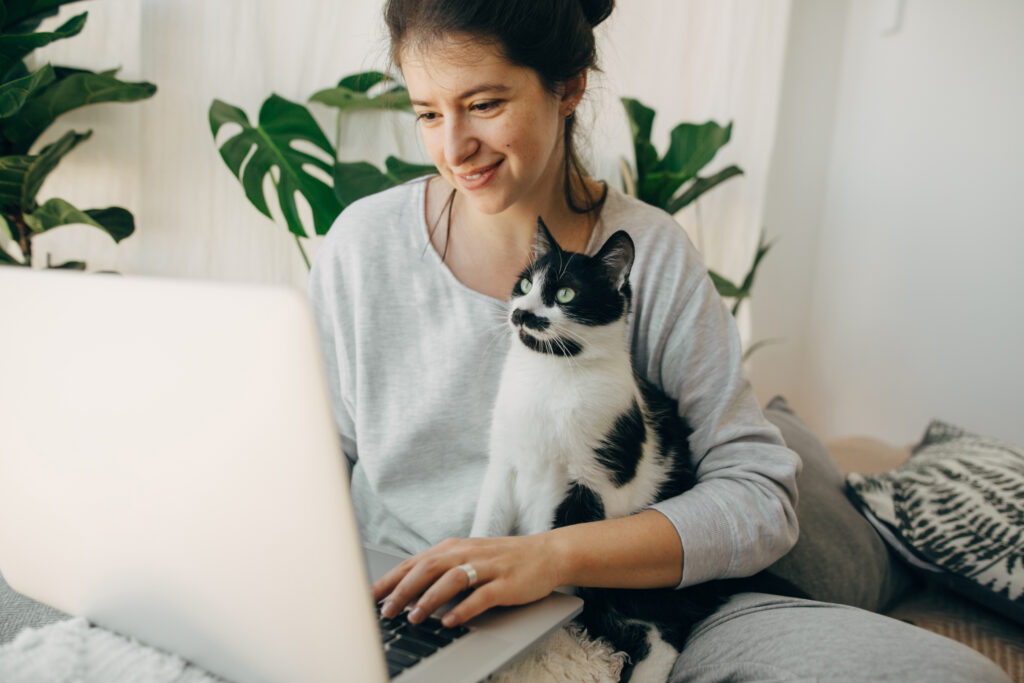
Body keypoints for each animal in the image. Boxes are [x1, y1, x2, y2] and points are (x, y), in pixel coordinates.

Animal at [468, 219, 733, 683]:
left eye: (565, 294)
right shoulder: (506, 462)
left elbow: (555, 549)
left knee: (665, 632)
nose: (521, 312)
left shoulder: (596, 482)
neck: (549, 373)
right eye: (525, 284)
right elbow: (489, 525)